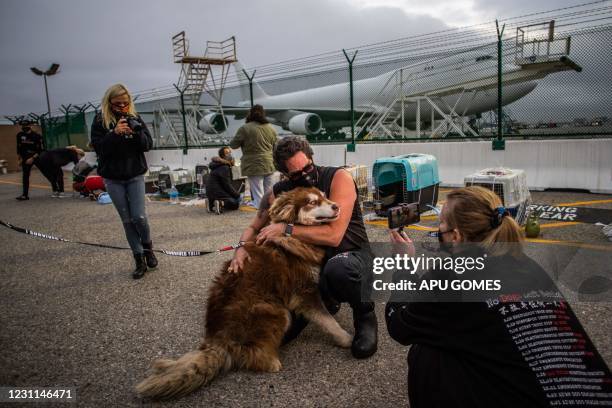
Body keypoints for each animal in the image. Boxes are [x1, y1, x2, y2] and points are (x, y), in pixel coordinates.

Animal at [136, 186, 352, 400]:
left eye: (324, 196)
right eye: (312, 202)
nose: (336, 205)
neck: (294, 236)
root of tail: (219, 341)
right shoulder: (304, 292)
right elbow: (327, 320)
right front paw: (346, 338)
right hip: (276, 311)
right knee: (252, 354)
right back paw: (271, 362)